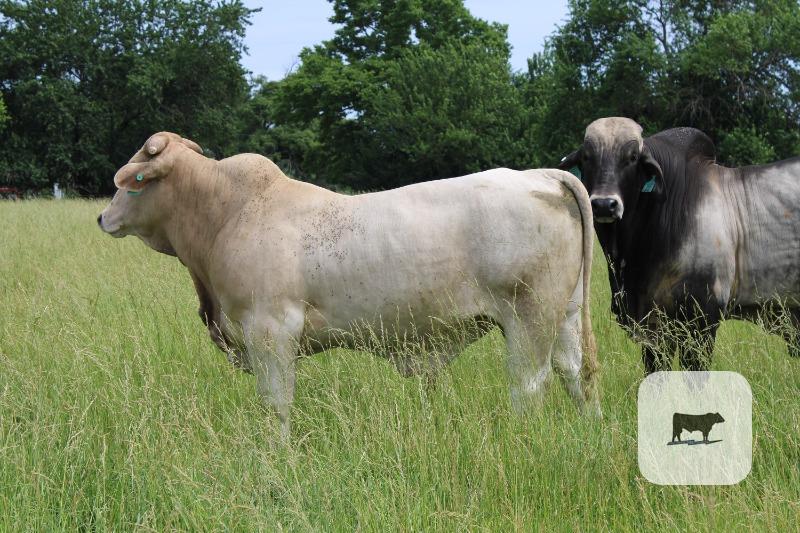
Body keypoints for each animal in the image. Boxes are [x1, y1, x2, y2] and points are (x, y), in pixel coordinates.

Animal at [98, 132, 601, 437]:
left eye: (133, 181)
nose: (103, 216)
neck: (227, 214)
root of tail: (541, 174)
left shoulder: (270, 333)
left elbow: (276, 404)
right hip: (565, 314)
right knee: (576, 374)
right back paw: (589, 432)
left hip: (529, 318)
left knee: (529, 386)